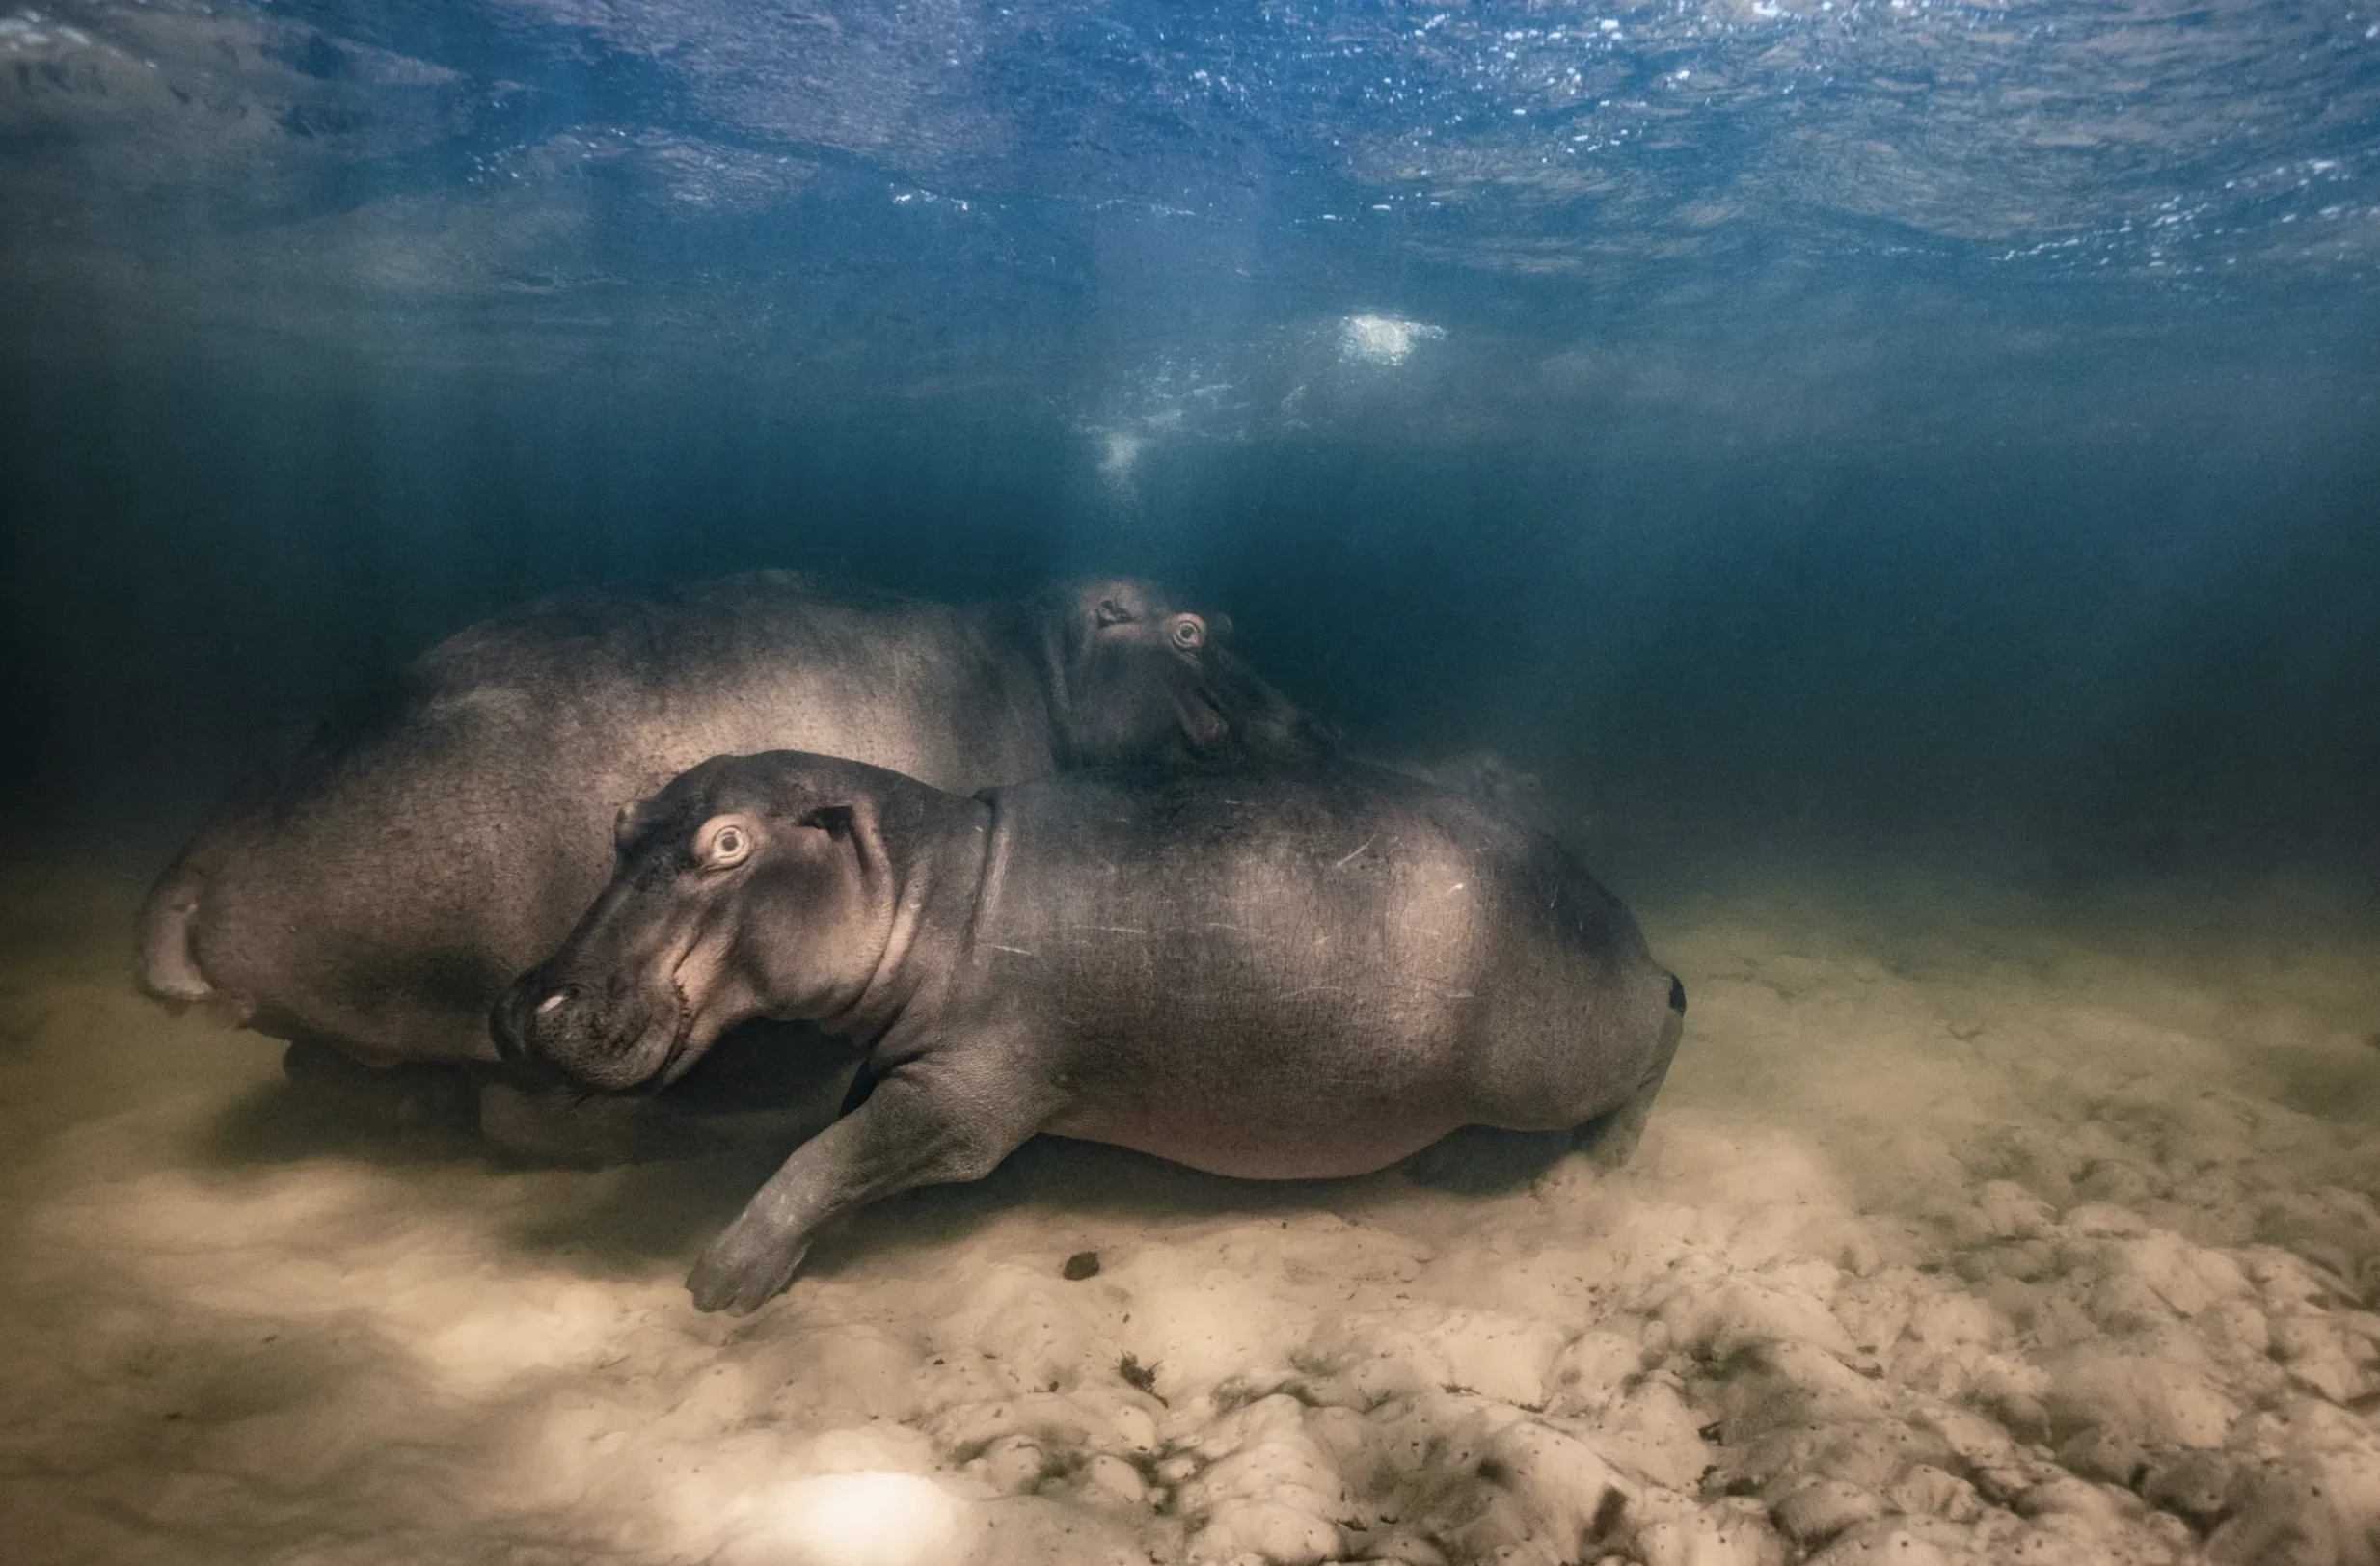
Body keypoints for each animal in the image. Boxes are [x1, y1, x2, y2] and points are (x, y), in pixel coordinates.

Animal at [136, 572, 1327, 1151]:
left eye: (1229, 618)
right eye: (1190, 628)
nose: (1323, 729)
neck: (1043, 663)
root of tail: (195, 872)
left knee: (332, 1070)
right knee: (528, 1118)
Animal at [497, 751, 1686, 1314]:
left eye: (730, 842)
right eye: (620, 825)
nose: (525, 1004)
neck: (932, 884)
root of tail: (1613, 909)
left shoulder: (966, 1101)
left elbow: (825, 1156)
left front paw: (722, 1280)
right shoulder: (901, 1064)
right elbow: (840, 1138)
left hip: (1554, 1060)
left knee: (1666, 1017)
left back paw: (1602, 1162)